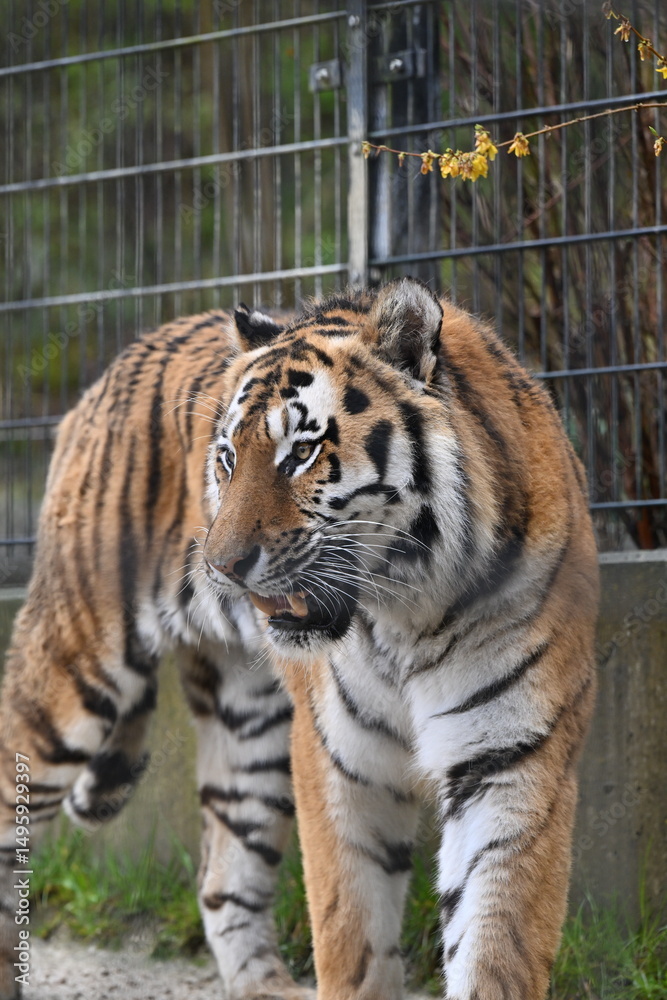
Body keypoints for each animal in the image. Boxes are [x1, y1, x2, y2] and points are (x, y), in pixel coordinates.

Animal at [0, 277, 599, 1000]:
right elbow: (353, 942)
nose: (221, 565)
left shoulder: (510, 759)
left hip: (249, 726)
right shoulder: (338, 760)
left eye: (302, 453)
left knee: (222, 880)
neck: (411, 612)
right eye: (227, 459)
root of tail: (119, 360)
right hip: (72, 668)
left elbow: (494, 945)